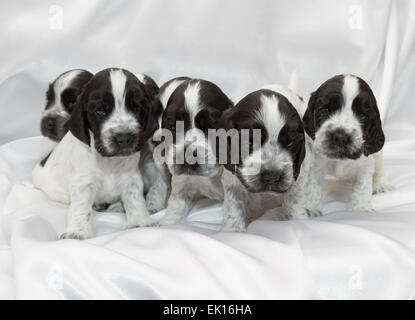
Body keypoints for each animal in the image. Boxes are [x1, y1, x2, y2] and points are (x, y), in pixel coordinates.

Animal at [33, 68, 158, 240]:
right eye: (100, 110)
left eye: (137, 108)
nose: (124, 138)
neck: (109, 161)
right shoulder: (83, 183)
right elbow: (81, 209)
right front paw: (78, 232)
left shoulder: (131, 178)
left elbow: (135, 199)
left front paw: (140, 222)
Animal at [156, 77, 234, 225]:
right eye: (173, 127)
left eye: (210, 127)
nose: (187, 157)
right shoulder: (182, 180)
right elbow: (177, 203)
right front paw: (169, 224)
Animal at [218, 77, 312, 232]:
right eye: (250, 142)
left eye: (291, 144)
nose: (272, 176)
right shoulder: (231, 177)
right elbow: (234, 204)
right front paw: (233, 230)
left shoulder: (296, 174)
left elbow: (295, 200)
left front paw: (298, 222)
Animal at [302, 74, 394, 215]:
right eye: (325, 110)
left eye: (363, 116)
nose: (340, 137)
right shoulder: (315, 163)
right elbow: (313, 185)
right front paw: (311, 208)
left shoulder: (365, 166)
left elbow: (362, 187)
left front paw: (361, 209)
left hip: (377, 156)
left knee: (379, 168)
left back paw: (381, 185)